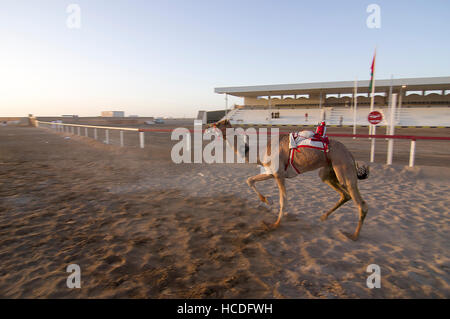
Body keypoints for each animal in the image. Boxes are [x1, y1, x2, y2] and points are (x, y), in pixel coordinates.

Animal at [207, 119, 370, 240]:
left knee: (360, 203)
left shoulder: (279, 175)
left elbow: (283, 200)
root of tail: (351, 155)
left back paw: (353, 235)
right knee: (344, 194)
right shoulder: (271, 172)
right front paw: (268, 201)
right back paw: (323, 217)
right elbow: (250, 180)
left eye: (218, 123)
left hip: (343, 167)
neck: (260, 152)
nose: (208, 126)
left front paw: (275, 224)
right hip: (328, 171)